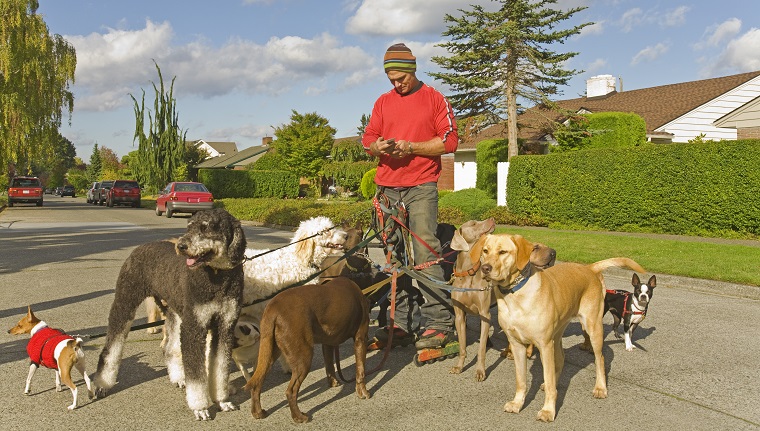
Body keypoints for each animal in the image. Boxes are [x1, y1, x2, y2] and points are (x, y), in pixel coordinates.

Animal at [245, 276, 370, 422]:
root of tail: (272, 309)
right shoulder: (361, 338)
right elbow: (360, 370)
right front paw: (363, 392)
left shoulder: (328, 343)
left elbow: (330, 366)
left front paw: (333, 382)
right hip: (303, 357)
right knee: (290, 391)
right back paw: (299, 417)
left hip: (269, 354)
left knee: (256, 384)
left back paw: (258, 412)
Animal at [448, 221, 556, 384]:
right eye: (473, 223)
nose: (492, 219)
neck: (469, 274)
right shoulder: (460, 316)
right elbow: (462, 346)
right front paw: (459, 366)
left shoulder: (485, 314)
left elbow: (481, 350)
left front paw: (480, 371)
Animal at [480, 235, 640, 424]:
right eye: (485, 251)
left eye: (503, 252)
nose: (485, 268)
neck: (515, 294)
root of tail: (588, 268)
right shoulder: (517, 344)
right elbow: (521, 380)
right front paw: (518, 403)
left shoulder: (544, 344)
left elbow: (549, 382)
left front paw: (548, 411)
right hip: (557, 335)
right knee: (561, 359)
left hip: (592, 328)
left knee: (599, 359)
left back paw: (600, 388)